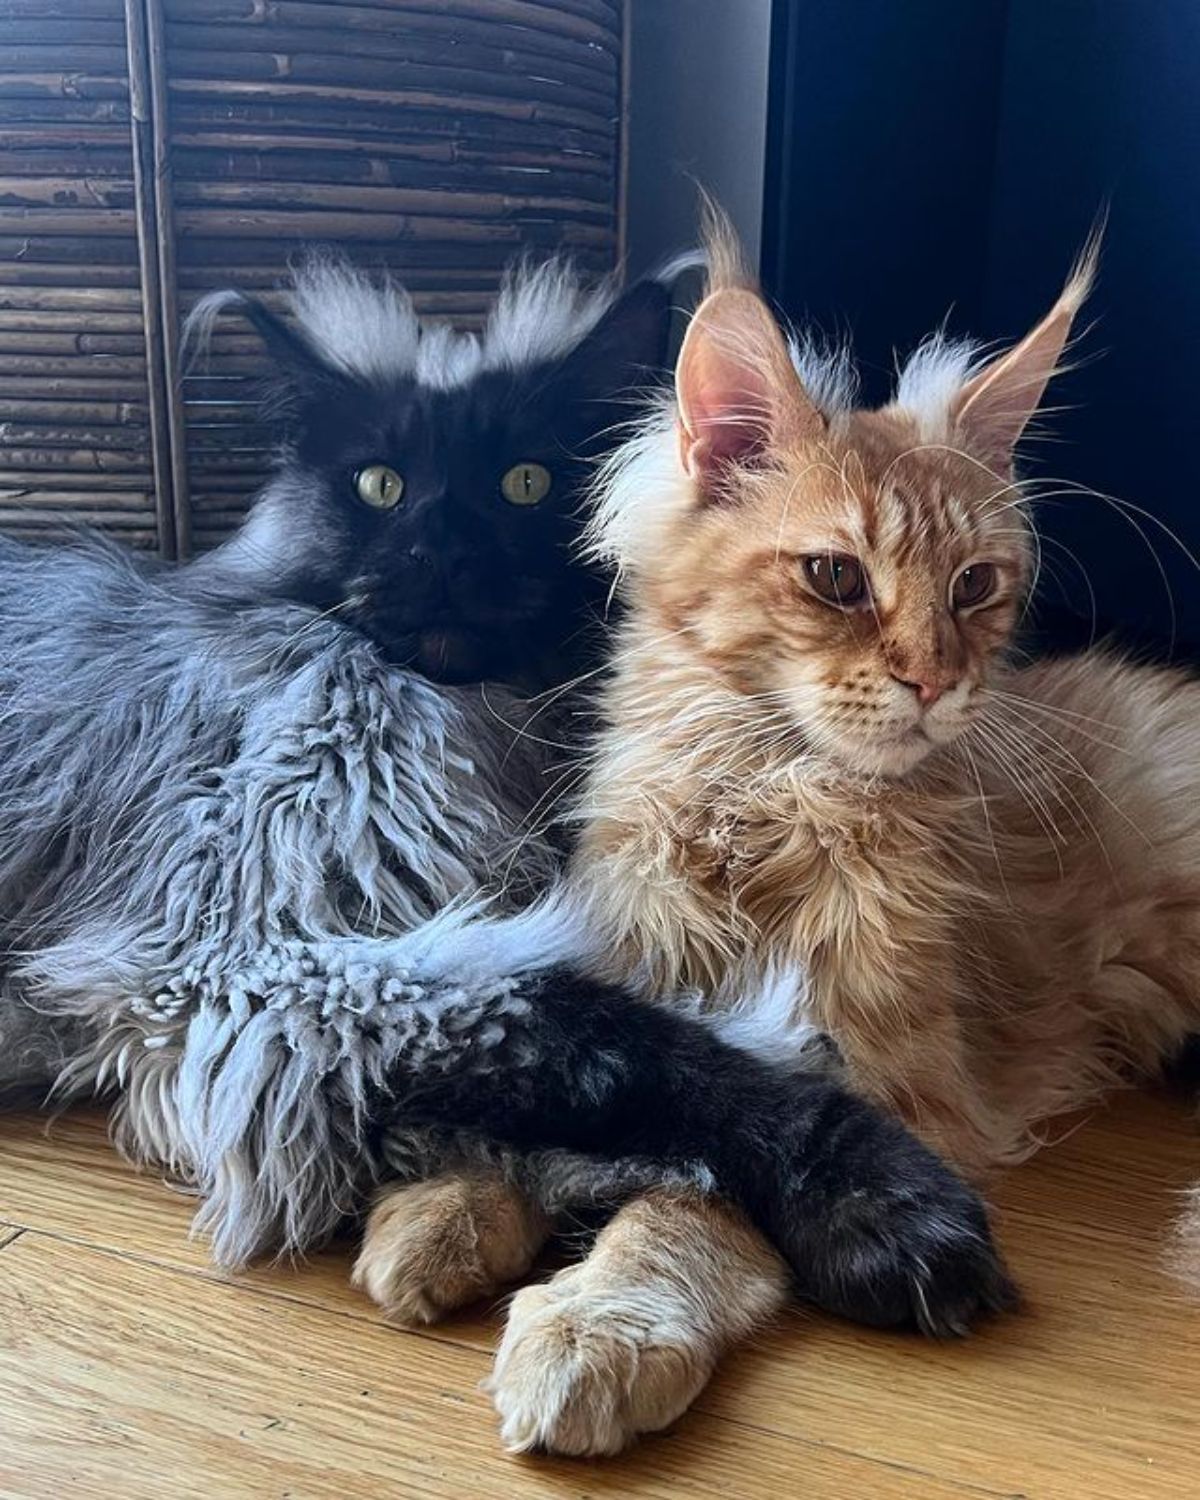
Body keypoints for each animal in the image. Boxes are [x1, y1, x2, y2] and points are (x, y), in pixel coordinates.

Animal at [361, 231, 1200, 1452]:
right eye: (837, 578)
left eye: (974, 587)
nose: (935, 682)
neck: (764, 798)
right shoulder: (638, 990)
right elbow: (562, 1099)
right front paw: (445, 1206)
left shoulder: (882, 1073)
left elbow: (700, 1192)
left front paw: (601, 1322)